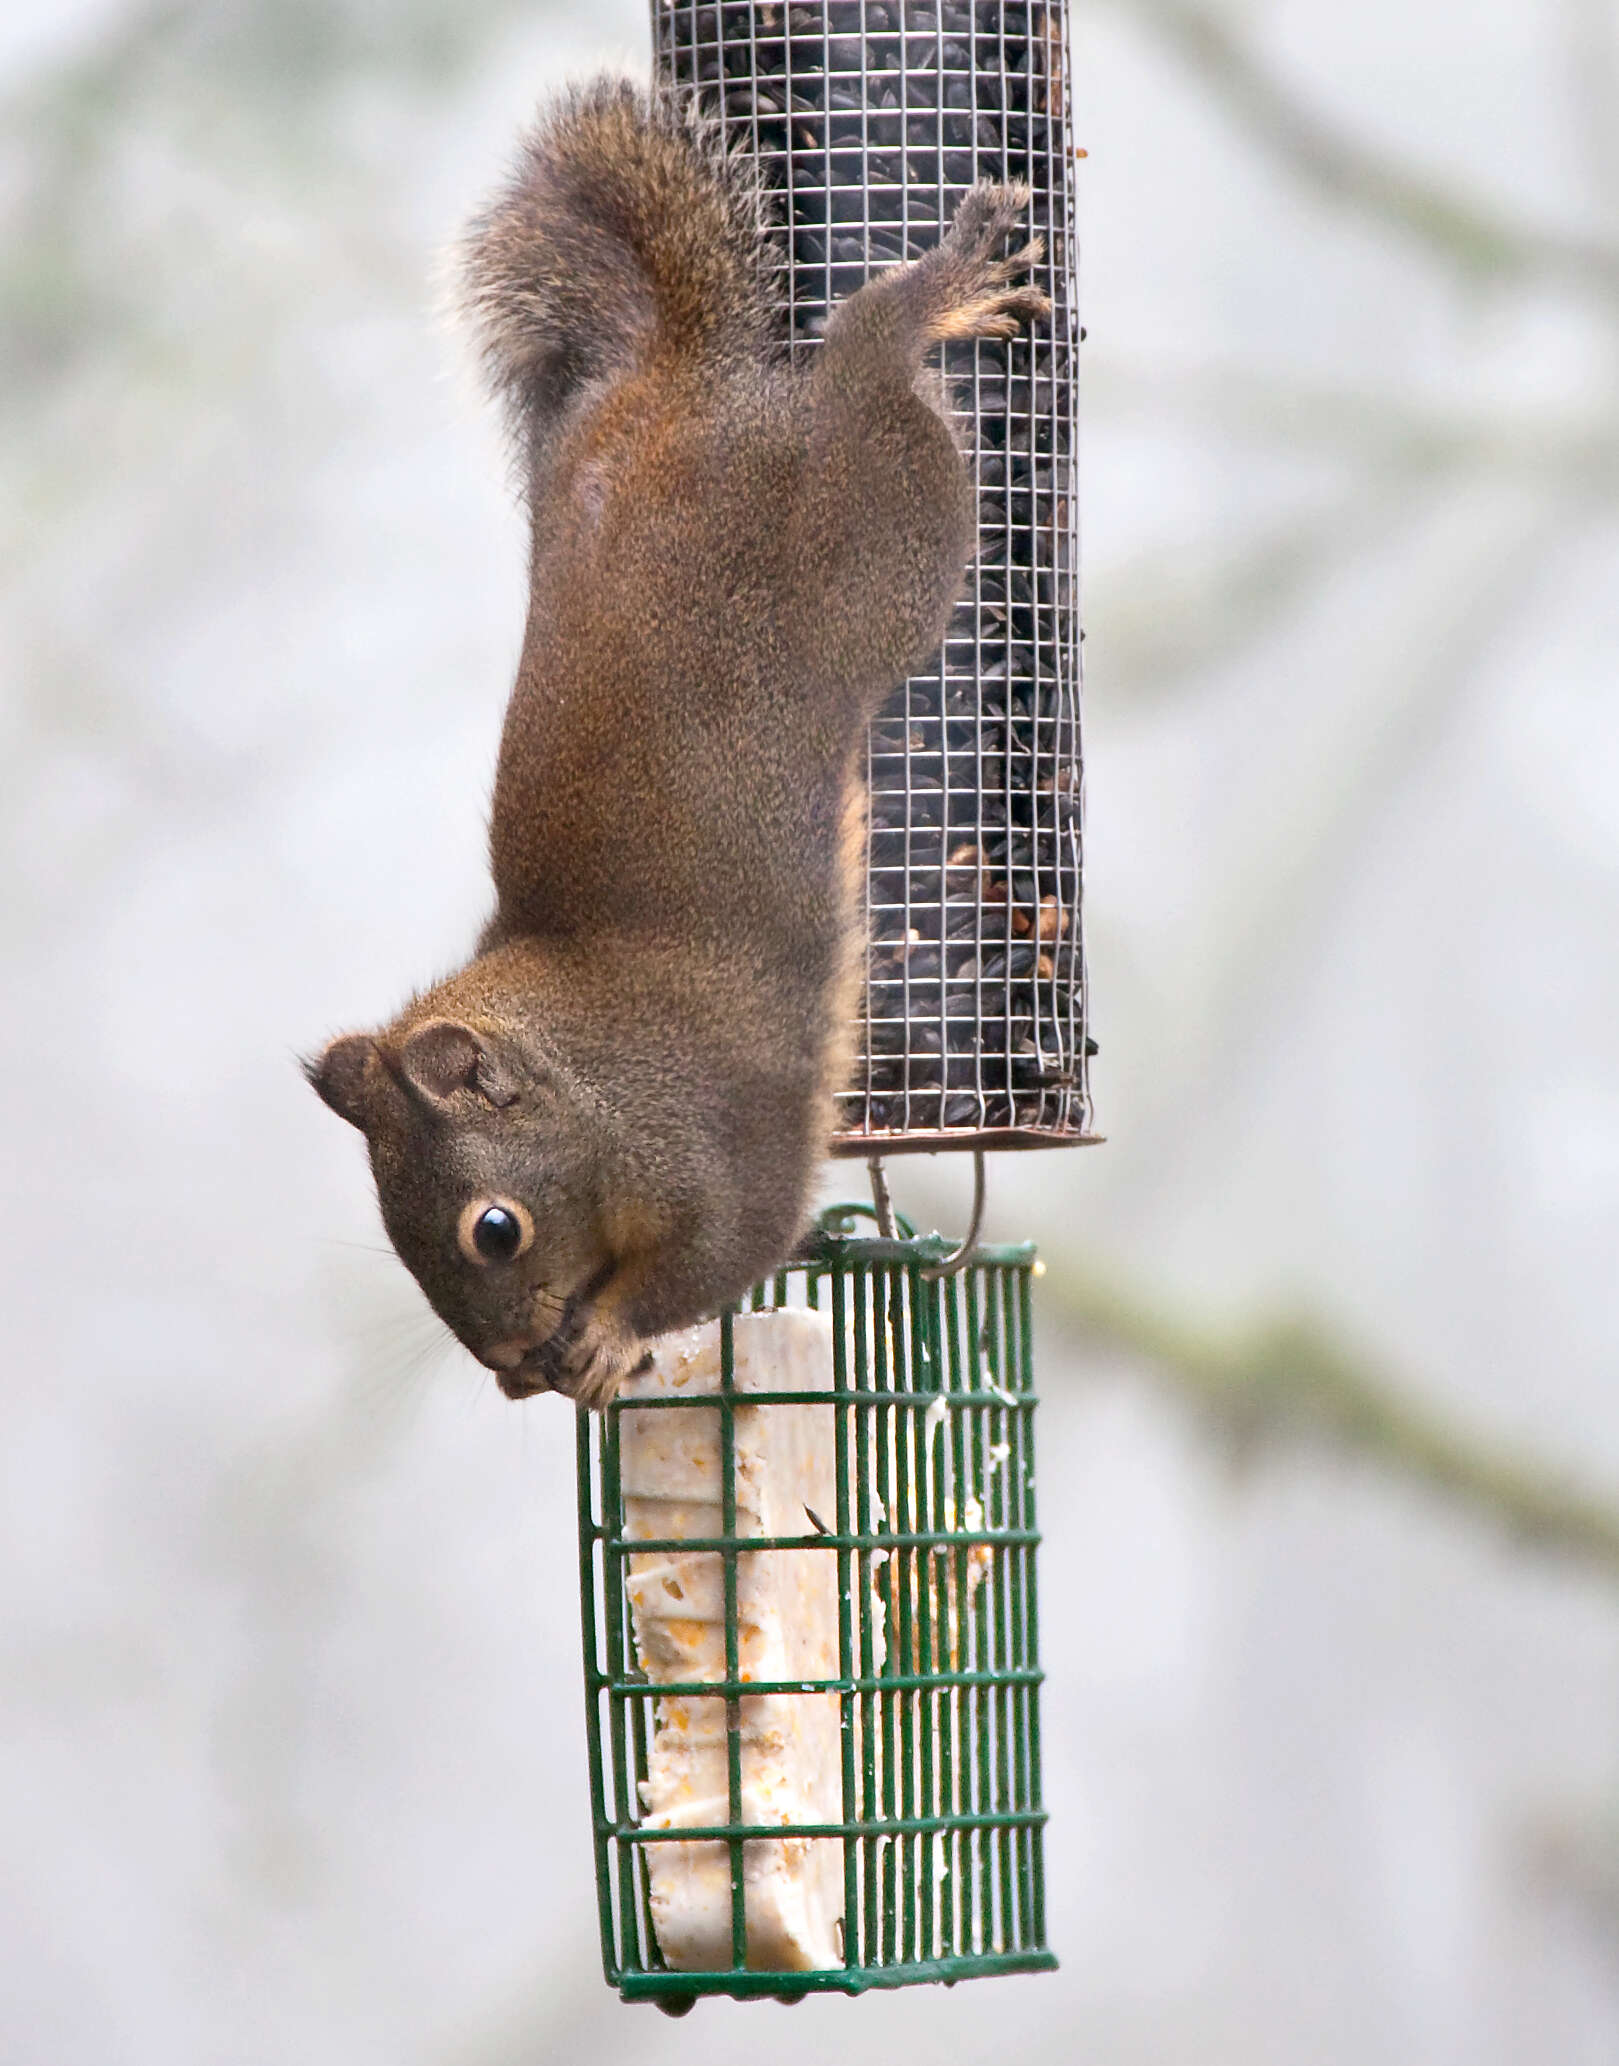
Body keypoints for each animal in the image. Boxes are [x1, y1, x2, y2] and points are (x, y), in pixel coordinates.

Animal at [305, 80, 1049, 1404]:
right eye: (399, 1240)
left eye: (492, 1228)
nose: (513, 1374)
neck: (596, 1072)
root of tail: (675, 388)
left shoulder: (712, 1139)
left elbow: (724, 1244)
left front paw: (606, 1333)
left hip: (880, 533)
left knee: (871, 371)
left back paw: (933, 292)